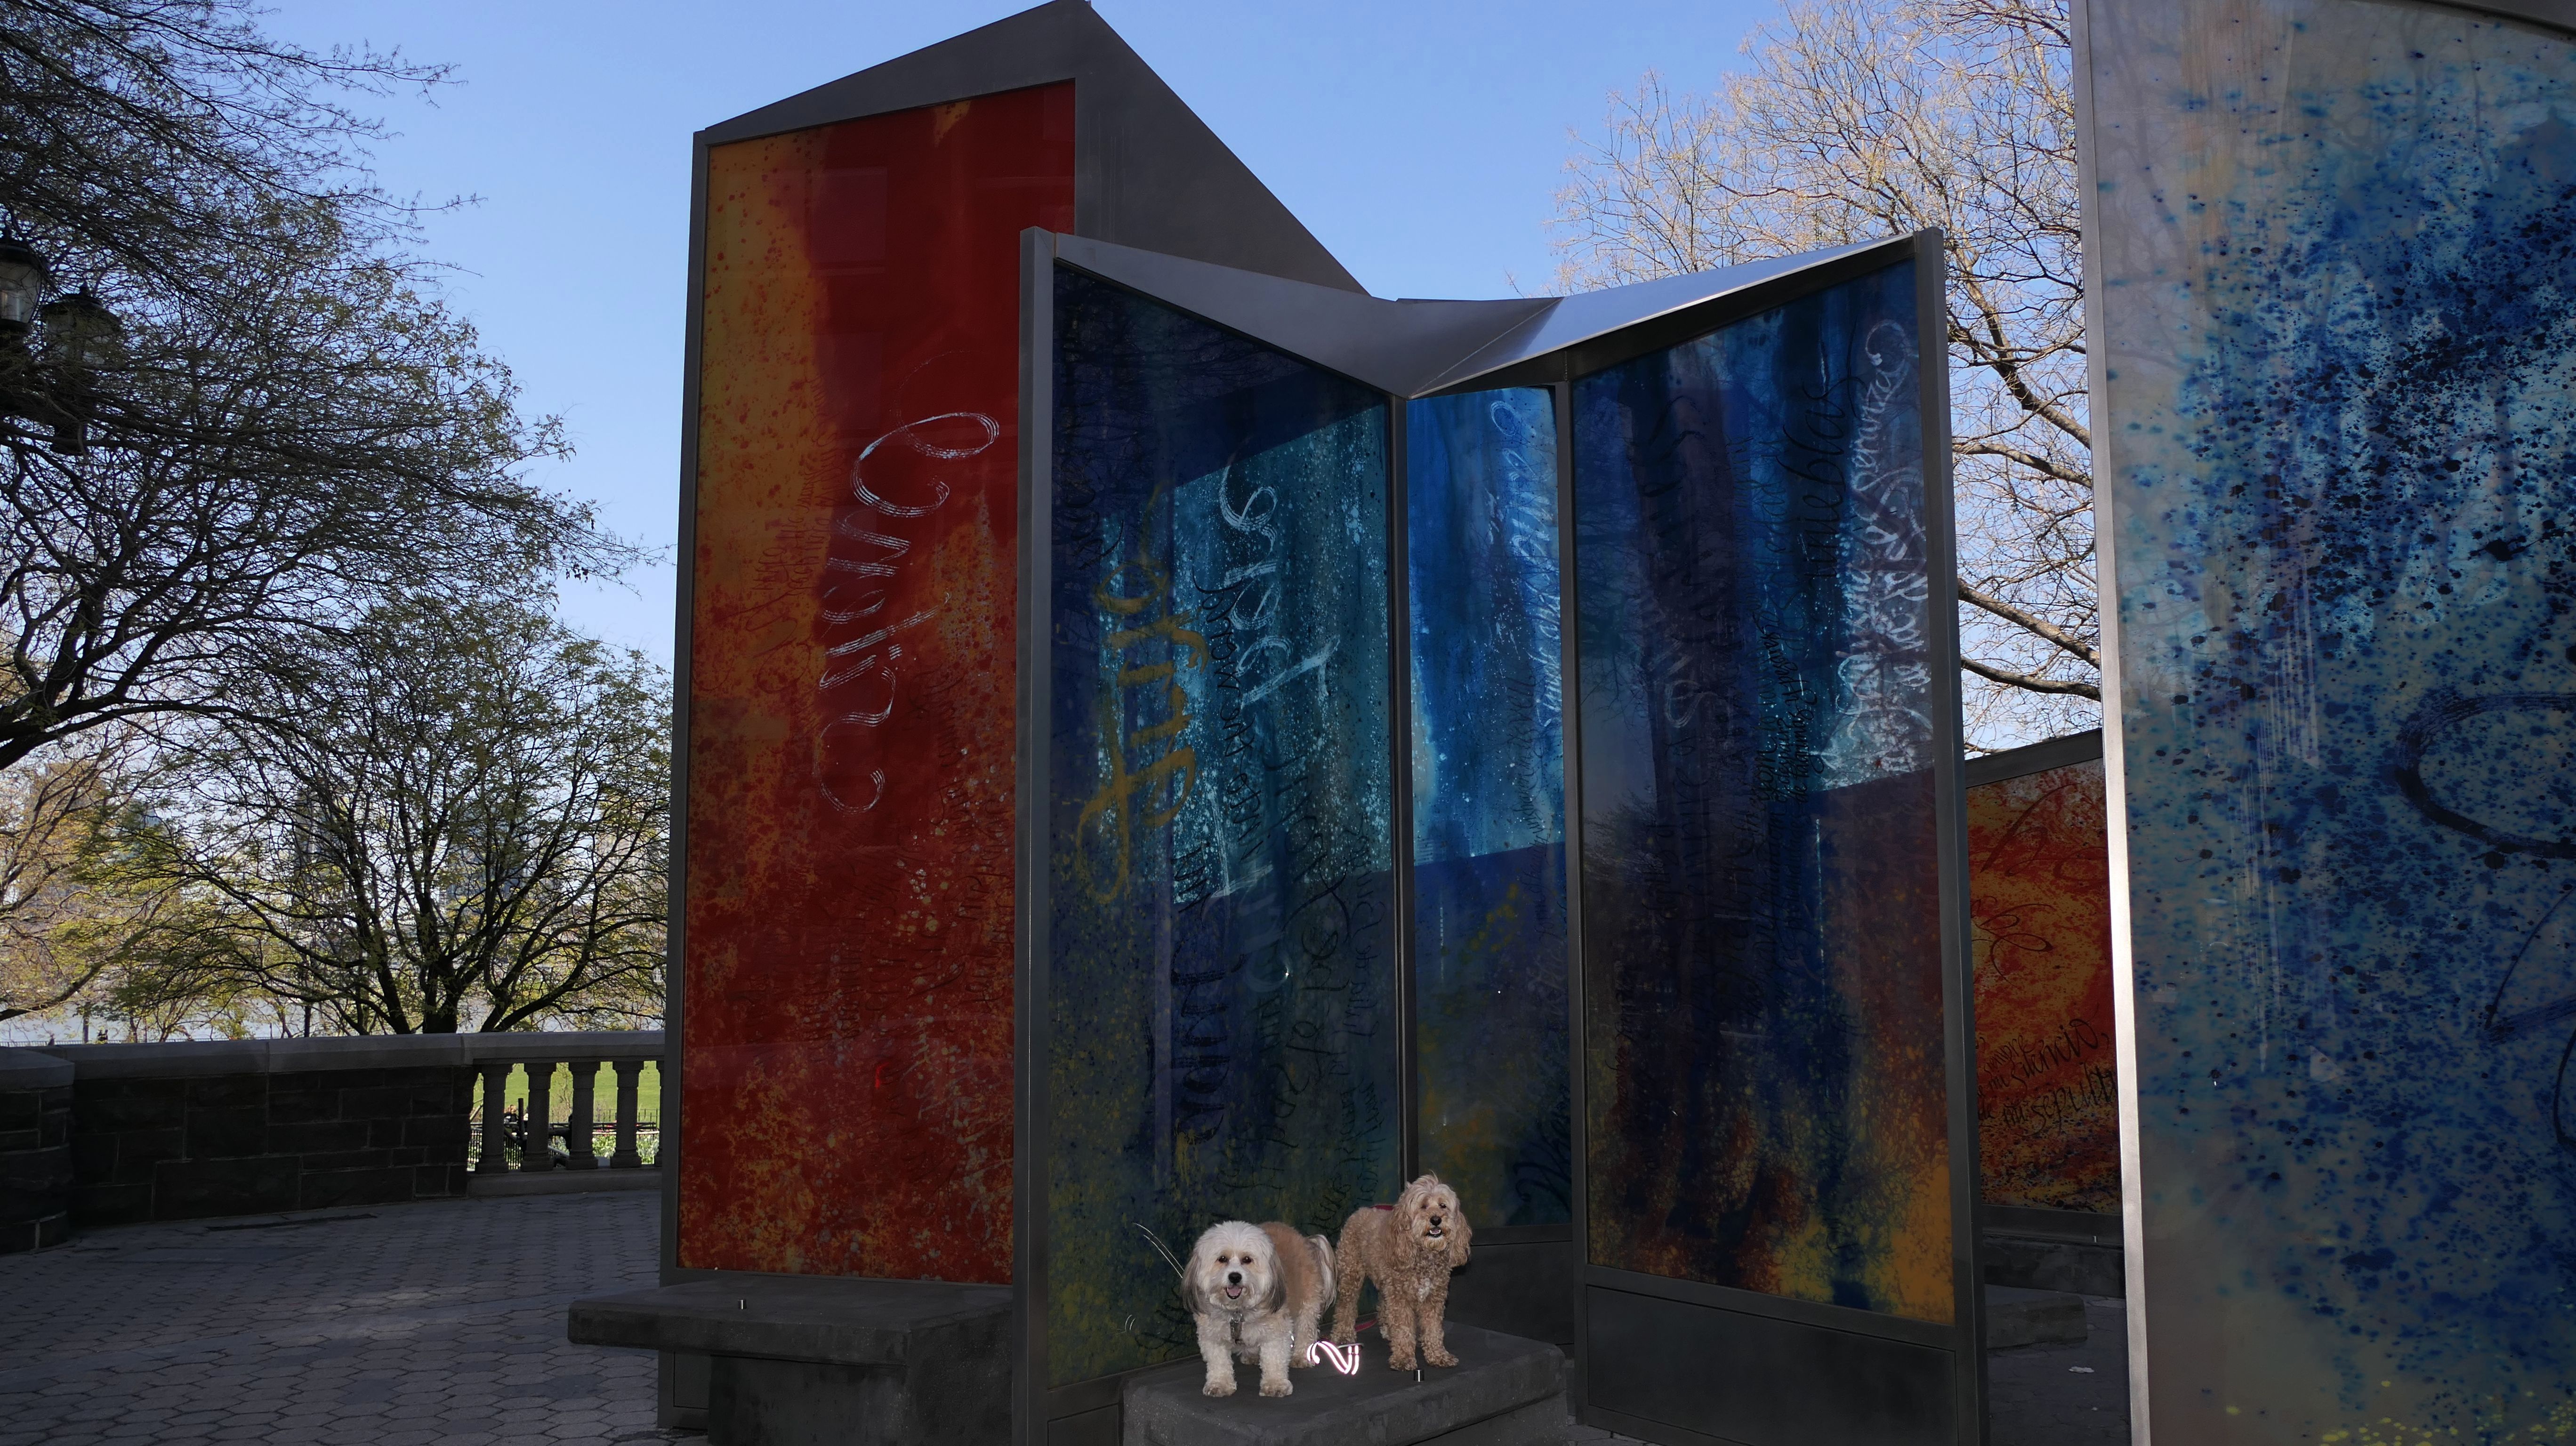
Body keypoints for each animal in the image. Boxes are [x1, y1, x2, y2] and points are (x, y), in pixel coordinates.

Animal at [1185, 1220, 1337, 1398]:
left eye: (1247, 1260)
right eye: (1222, 1259)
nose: (1235, 1277)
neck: (1238, 1312)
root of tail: (1305, 1241)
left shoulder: (1276, 1331)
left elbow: (1274, 1358)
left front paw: (1275, 1385)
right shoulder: (1212, 1336)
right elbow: (1219, 1362)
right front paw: (1220, 1384)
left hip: (1307, 1304)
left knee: (1305, 1331)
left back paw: (1301, 1357)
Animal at [1330, 1173, 1472, 1370]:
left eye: (1443, 1205)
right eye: (1423, 1206)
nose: (1436, 1220)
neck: (1423, 1256)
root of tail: (1361, 1211)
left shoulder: (1433, 1299)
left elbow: (1434, 1330)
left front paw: (1438, 1355)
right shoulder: (1400, 1299)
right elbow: (1404, 1328)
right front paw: (1404, 1358)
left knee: (1382, 1304)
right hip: (1351, 1275)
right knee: (1346, 1306)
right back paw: (1343, 1334)